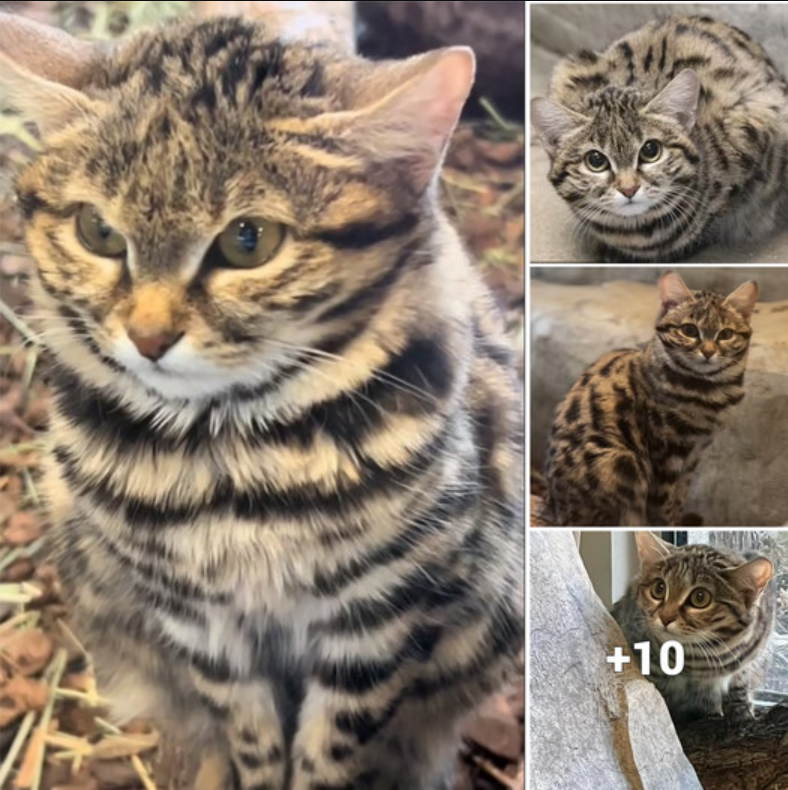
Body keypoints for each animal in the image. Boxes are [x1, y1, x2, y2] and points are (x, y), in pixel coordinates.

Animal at [548, 270, 756, 524]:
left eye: (726, 334)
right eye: (689, 330)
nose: (708, 352)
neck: (706, 389)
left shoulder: (694, 454)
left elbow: (680, 497)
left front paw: (679, 520)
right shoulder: (666, 453)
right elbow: (663, 504)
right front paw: (667, 523)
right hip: (621, 461)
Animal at [612, 536, 772, 728]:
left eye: (700, 598)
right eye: (659, 588)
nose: (665, 617)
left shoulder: (752, 653)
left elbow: (740, 681)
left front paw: (740, 710)